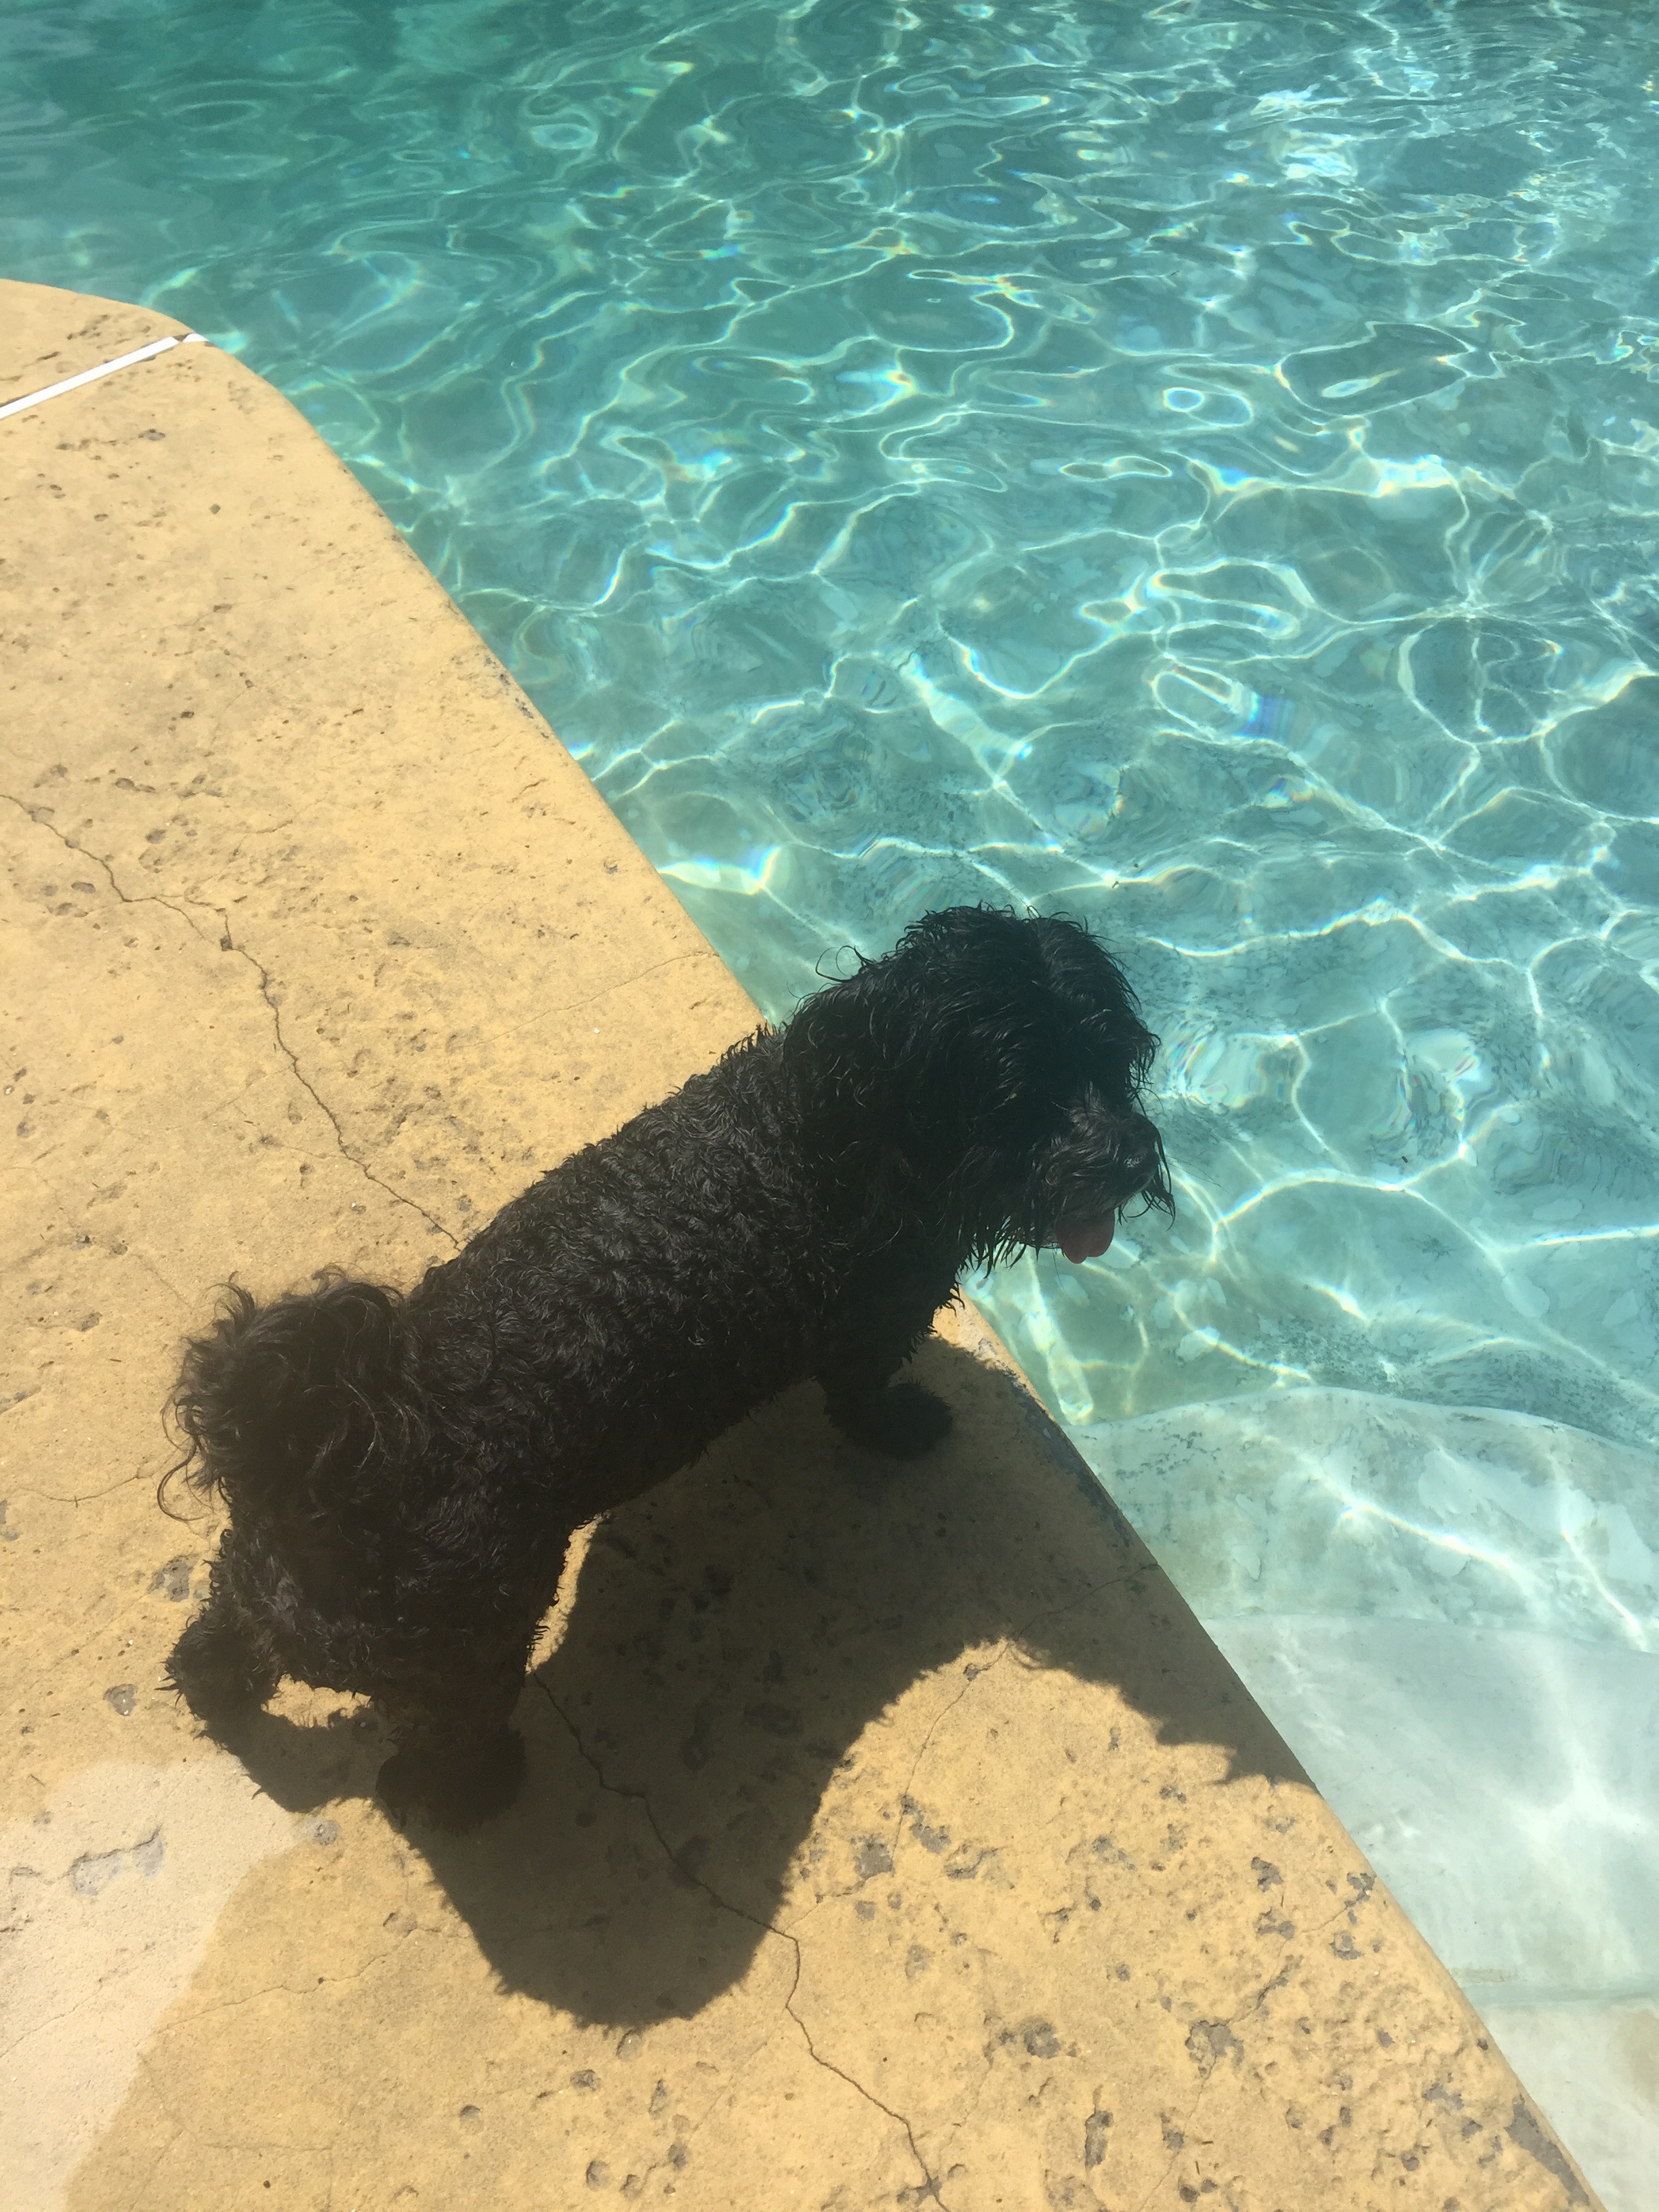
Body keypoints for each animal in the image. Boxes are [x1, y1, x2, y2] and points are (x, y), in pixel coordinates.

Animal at [163, 906, 1170, 1828]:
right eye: (1019, 1095)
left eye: (1109, 1059)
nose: (1127, 1157)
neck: (827, 1122)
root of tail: (333, 1464)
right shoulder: (873, 1324)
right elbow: (862, 1397)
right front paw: (903, 1427)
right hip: (467, 1650)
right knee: (447, 1743)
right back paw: (468, 1793)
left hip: (257, 1581)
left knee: (223, 1634)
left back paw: (212, 1683)